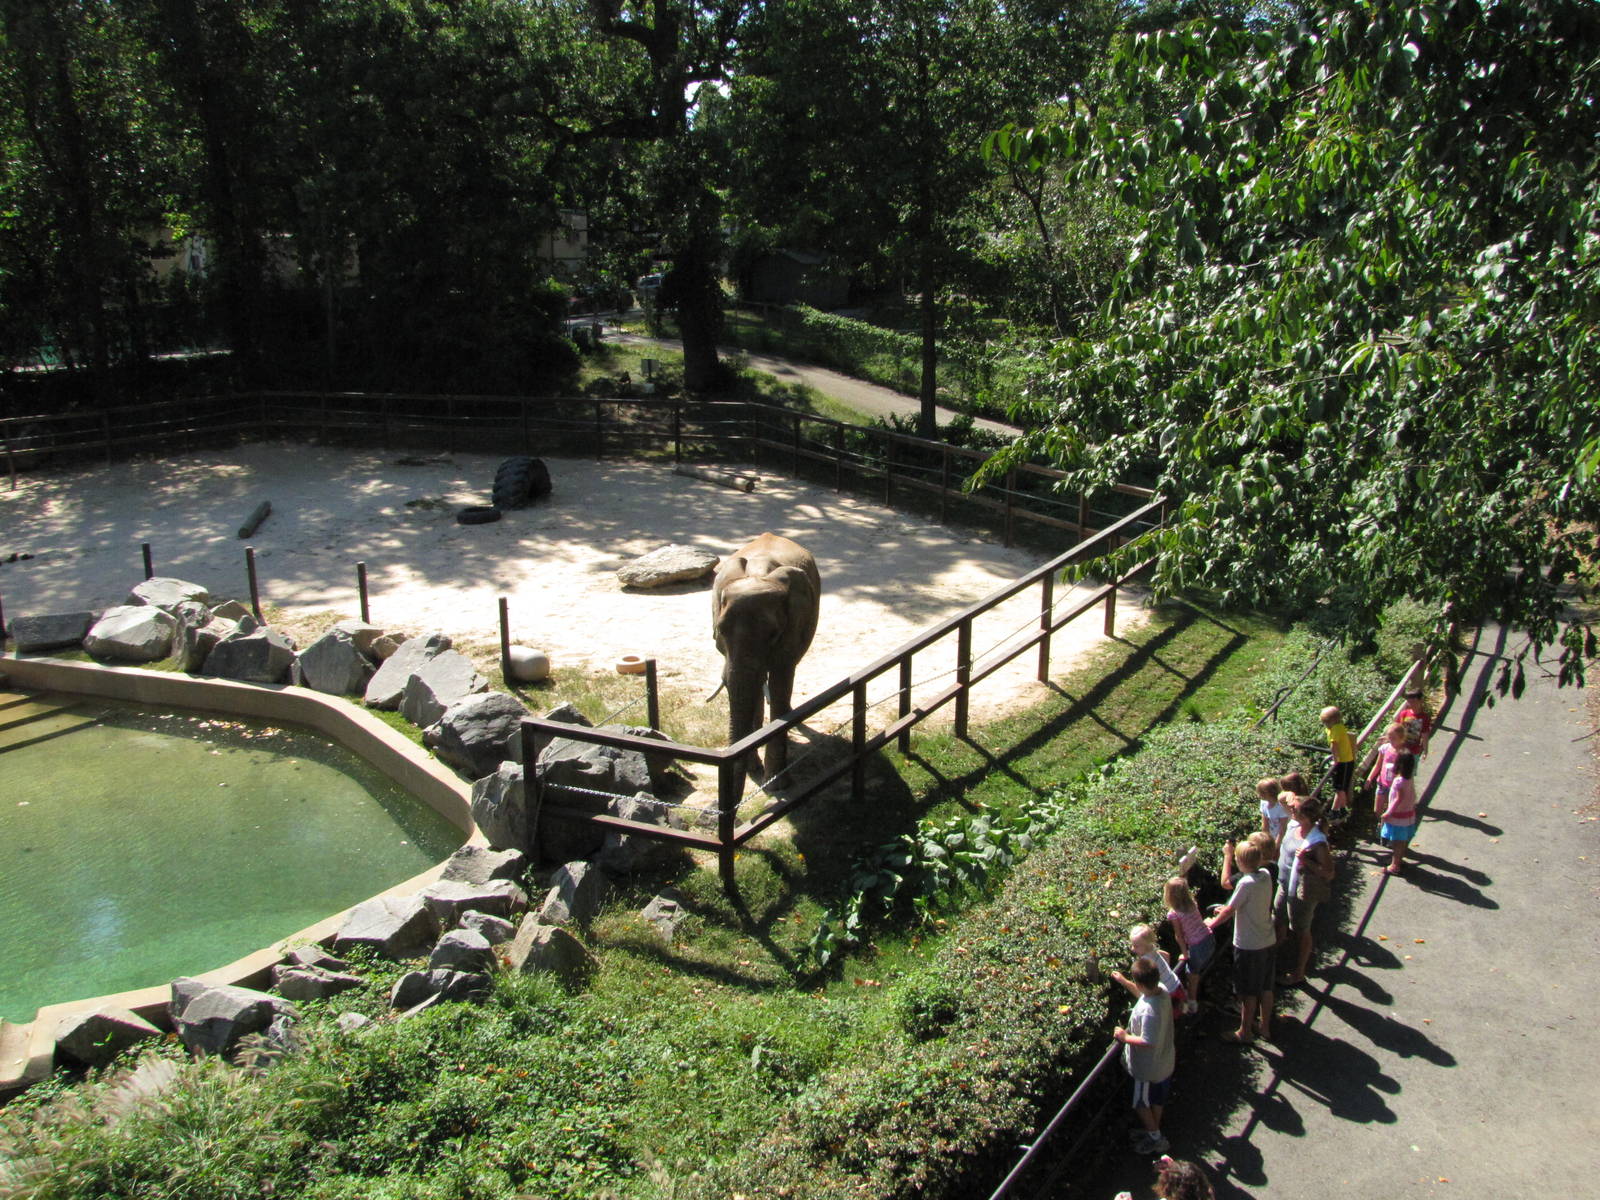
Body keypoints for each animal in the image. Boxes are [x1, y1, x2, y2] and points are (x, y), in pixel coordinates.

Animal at [711, 532, 821, 783]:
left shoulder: (792, 628)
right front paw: (755, 770)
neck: (758, 572)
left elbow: (780, 683)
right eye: (721, 630)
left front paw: (776, 783)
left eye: (773, 634)